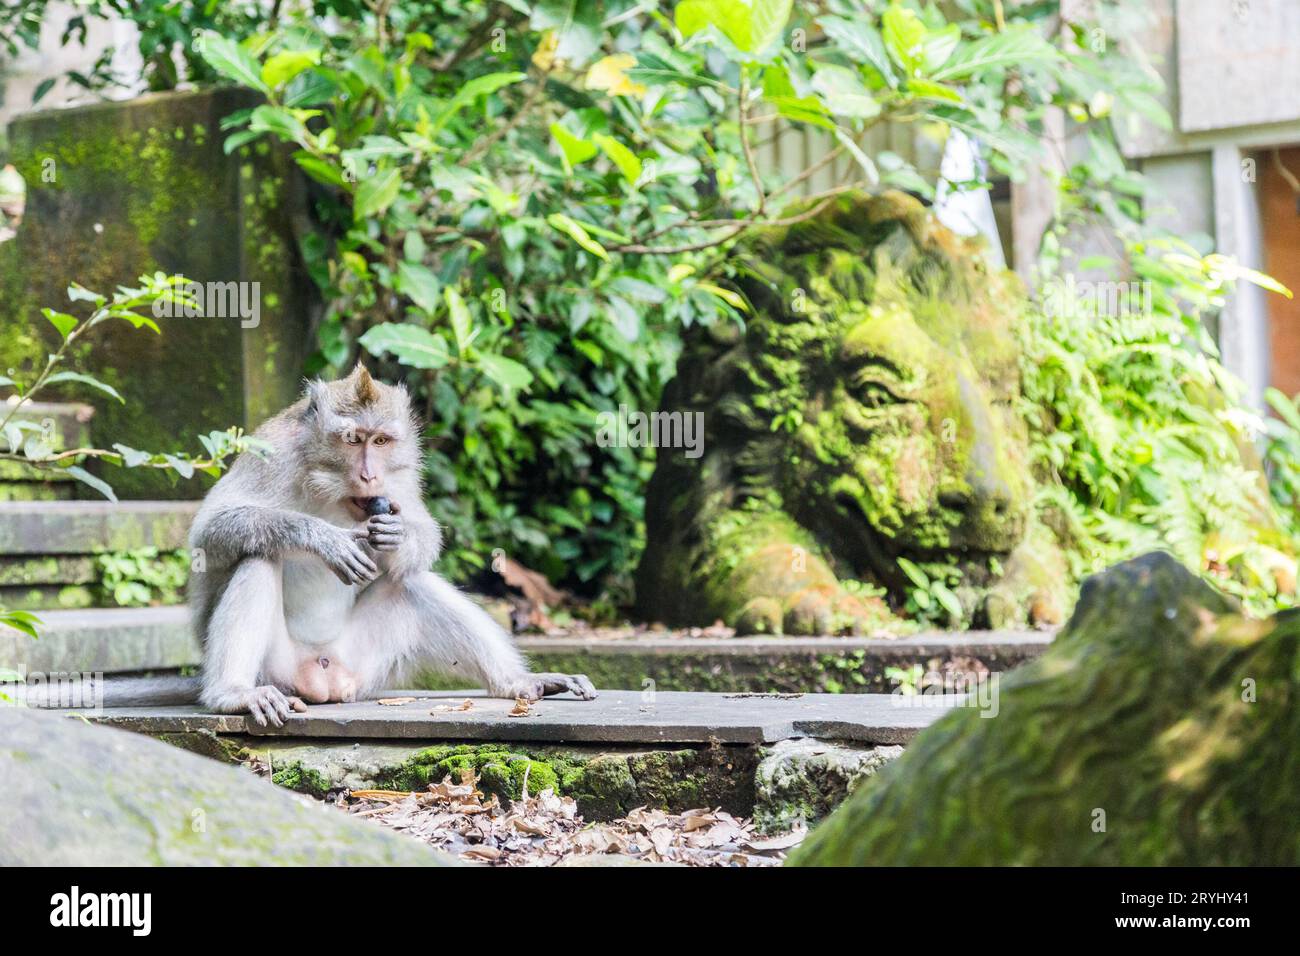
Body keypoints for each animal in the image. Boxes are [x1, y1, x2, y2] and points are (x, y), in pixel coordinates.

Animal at [181, 363, 597, 725]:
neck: (329, 489)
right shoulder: (272, 451)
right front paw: (322, 538)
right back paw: (233, 694)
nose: (369, 476)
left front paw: (399, 536)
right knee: (259, 557)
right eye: (353, 439)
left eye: (381, 441)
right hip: (278, 671)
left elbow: (424, 533)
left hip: (361, 665)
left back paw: (520, 682)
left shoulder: (401, 473)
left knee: (411, 581)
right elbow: (208, 531)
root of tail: (323, 679)